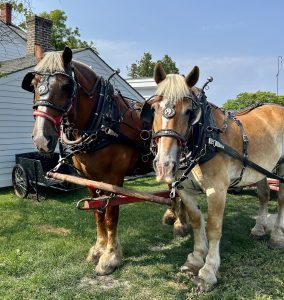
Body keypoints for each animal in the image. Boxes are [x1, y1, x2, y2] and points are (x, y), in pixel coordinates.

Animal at [21, 47, 160, 276]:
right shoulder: (88, 178)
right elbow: (97, 212)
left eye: (66, 86)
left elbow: (111, 213)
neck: (103, 121)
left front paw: (110, 257)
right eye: (33, 83)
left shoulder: (114, 178)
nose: (41, 138)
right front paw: (98, 249)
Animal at [144, 62, 284, 290]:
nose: (165, 165)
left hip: (281, 168)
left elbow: (213, 228)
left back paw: (277, 236)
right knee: (264, 195)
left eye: (189, 112)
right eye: (154, 109)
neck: (205, 136)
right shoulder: (185, 190)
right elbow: (196, 221)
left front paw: (208, 271)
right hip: (262, 169)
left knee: (280, 200)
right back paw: (258, 229)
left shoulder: (216, 190)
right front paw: (195, 259)